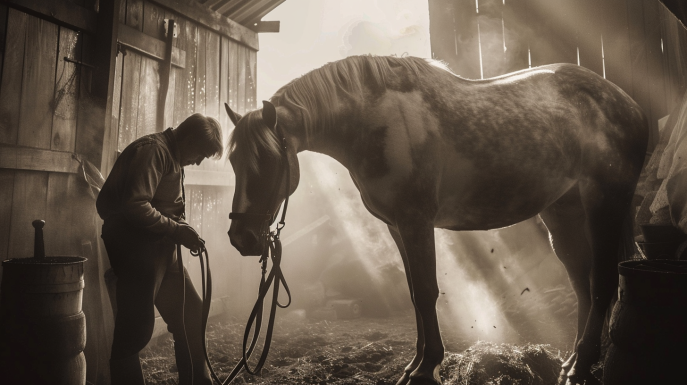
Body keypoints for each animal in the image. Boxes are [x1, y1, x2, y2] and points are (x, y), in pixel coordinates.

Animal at [223, 54, 648, 384]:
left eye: (268, 161)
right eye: (233, 160)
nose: (241, 238)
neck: (376, 122)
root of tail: (625, 100)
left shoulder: (417, 222)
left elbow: (427, 291)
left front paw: (427, 369)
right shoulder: (397, 227)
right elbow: (415, 293)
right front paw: (415, 364)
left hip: (604, 204)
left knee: (602, 282)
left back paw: (582, 366)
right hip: (563, 212)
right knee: (581, 282)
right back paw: (572, 361)